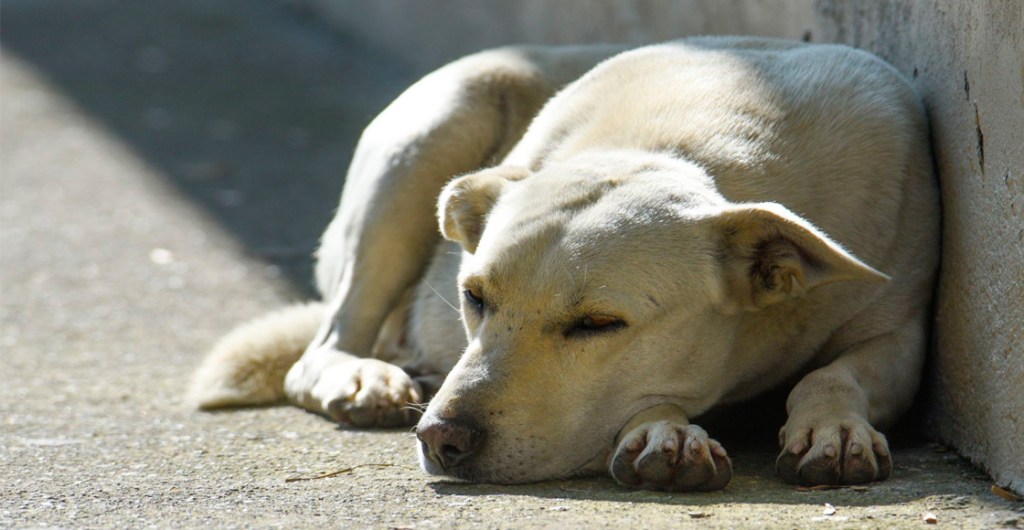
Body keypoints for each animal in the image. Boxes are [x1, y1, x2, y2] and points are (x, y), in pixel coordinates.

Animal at [190, 38, 937, 495]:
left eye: (599, 324)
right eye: (474, 297)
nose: (440, 437)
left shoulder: (900, 331)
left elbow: (837, 373)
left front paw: (834, 426)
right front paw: (665, 431)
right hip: (434, 128)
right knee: (323, 347)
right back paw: (363, 374)